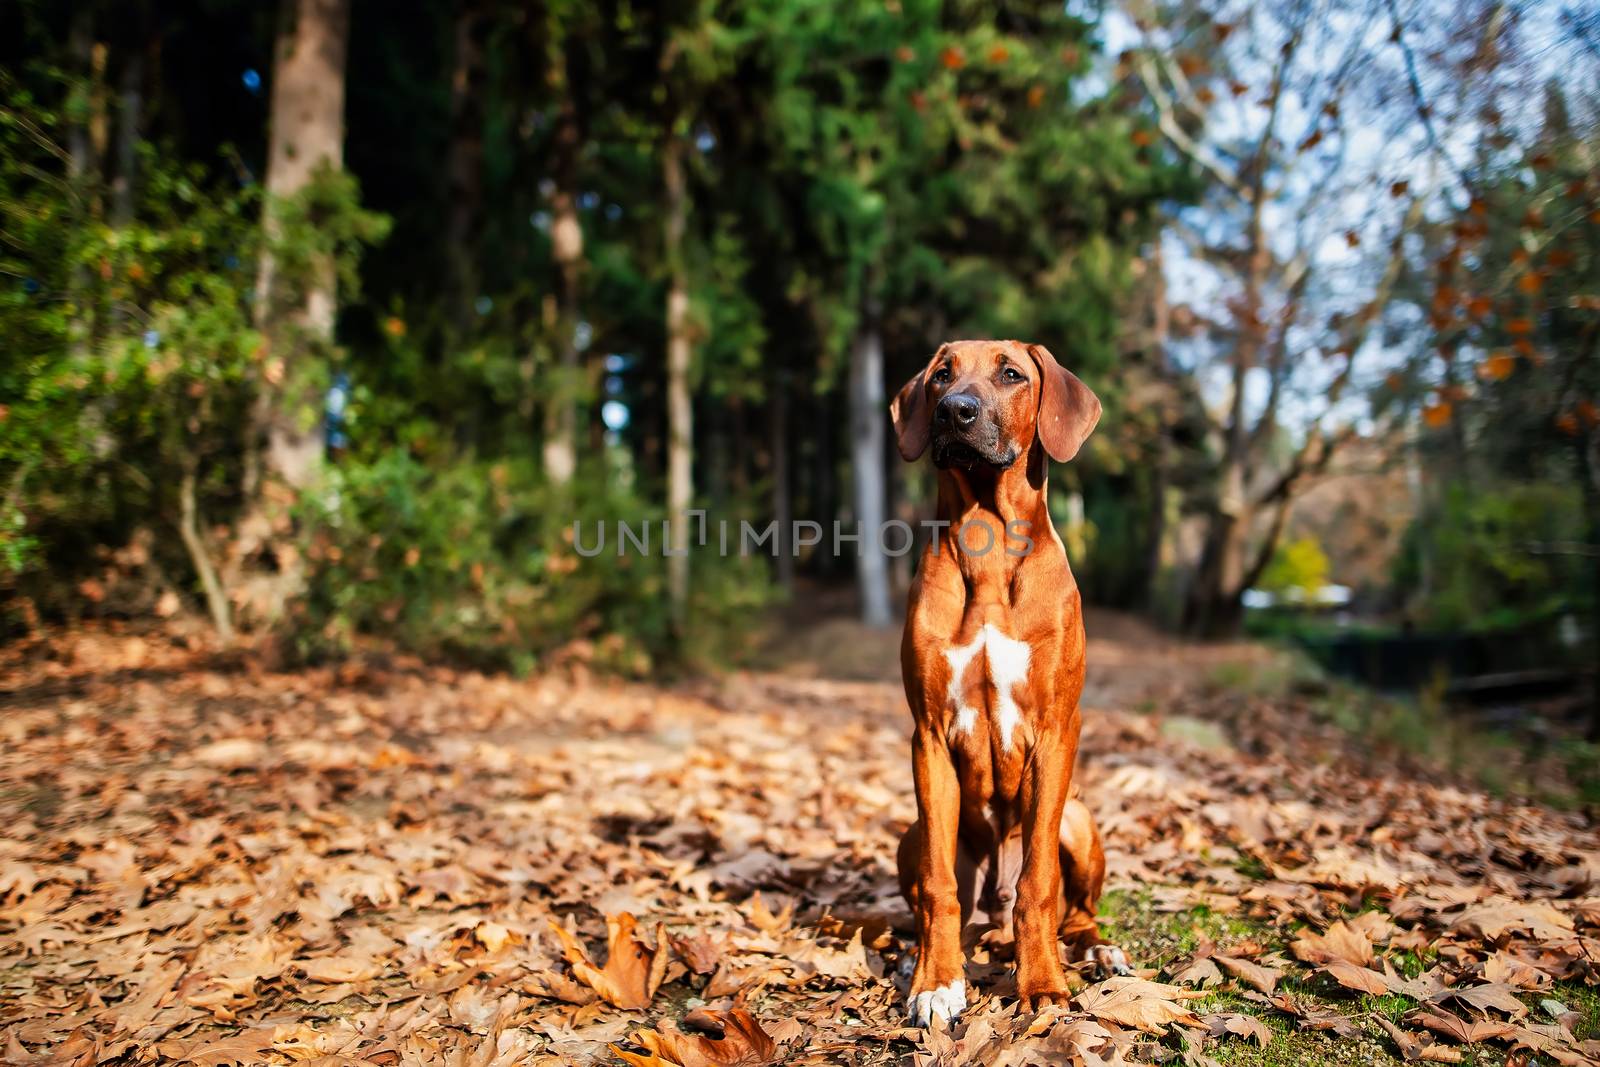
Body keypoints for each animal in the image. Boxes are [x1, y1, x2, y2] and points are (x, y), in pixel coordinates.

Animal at [889, 335, 1126, 1023]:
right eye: (941, 376)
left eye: (1012, 374)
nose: (955, 412)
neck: (988, 542)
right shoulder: (929, 736)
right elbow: (939, 886)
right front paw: (936, 981)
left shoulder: (1056, 731)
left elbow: (1039, 881)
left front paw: (1042, 981)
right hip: (910, 835)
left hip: (1079, 820)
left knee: (1077, 910)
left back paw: (1095, 950)